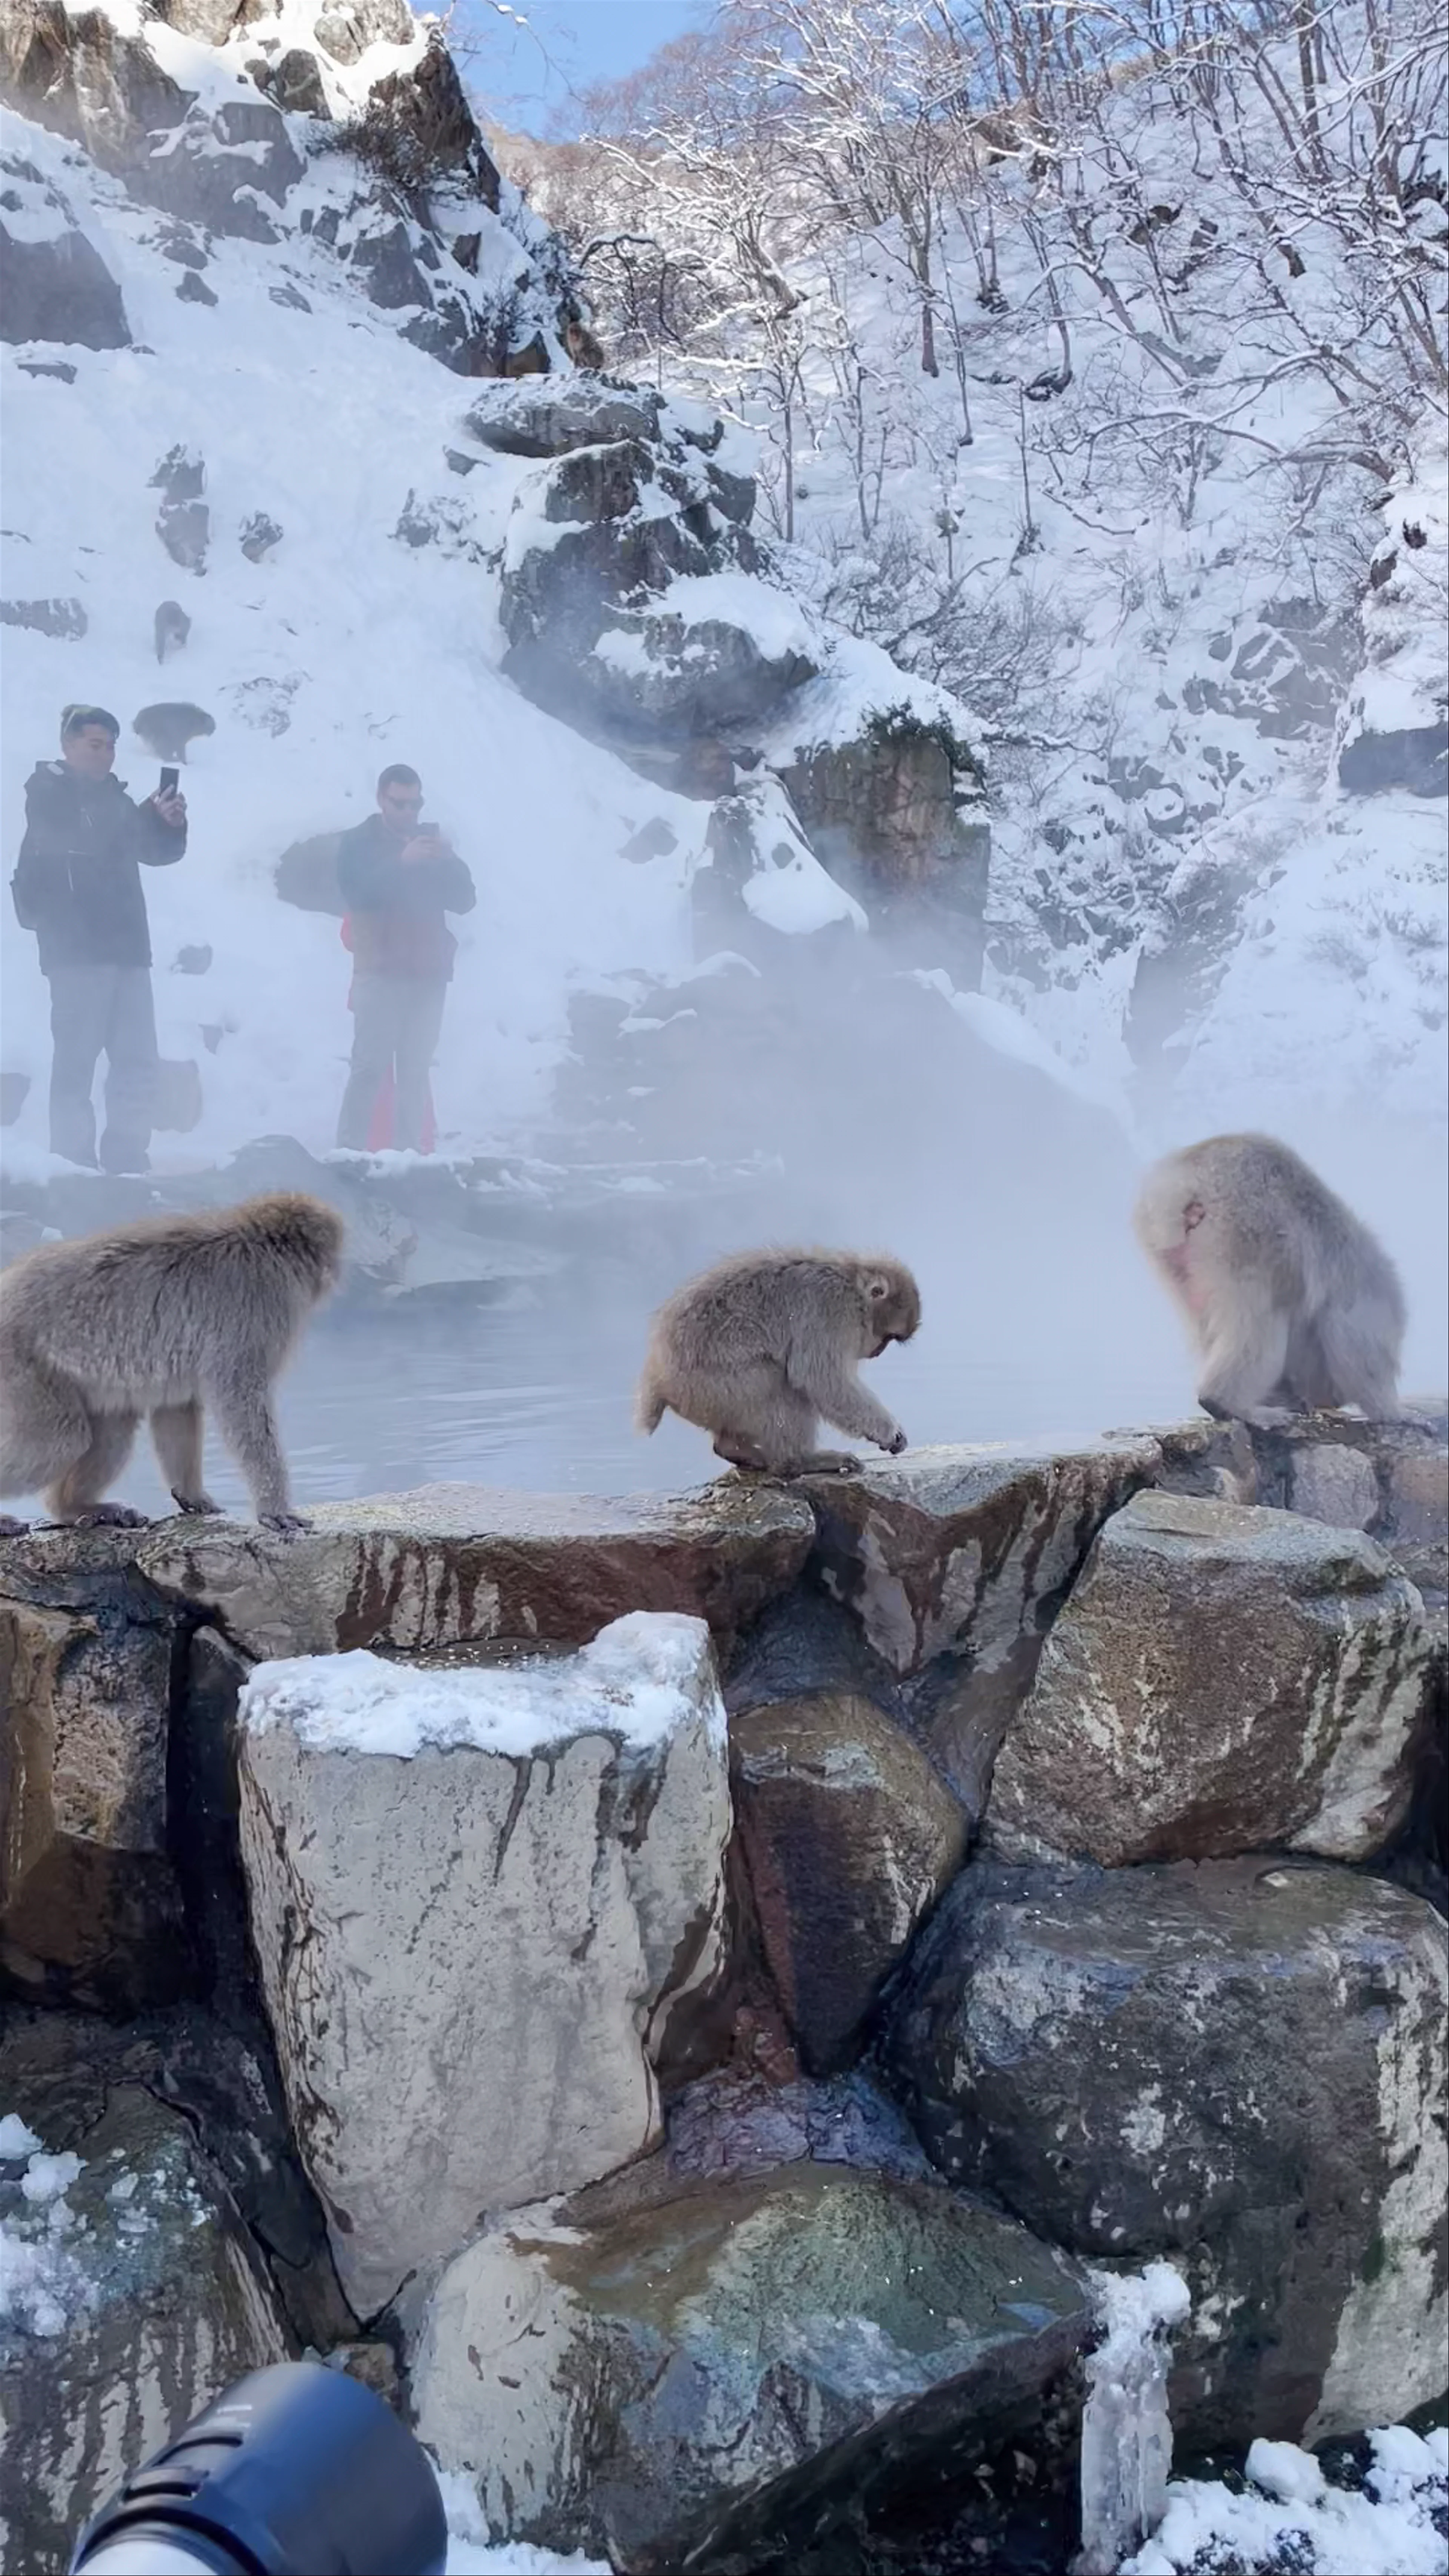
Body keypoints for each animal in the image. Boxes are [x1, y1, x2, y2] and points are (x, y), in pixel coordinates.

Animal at [0, 1193, 344, 1536]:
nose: (333, 1275)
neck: (261, 1243)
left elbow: (176, 1409)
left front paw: (193, 1495)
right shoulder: (260, 1308)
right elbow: (239, 1400)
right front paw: (275, 1508)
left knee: (112, 1429)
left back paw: (74, 1508)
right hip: (19, 1362)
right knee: (58, 1440)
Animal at [636, 1247, 920, 1477]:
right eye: (888, 1337)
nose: (878, 1351)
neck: (851, 1285)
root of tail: (657, 1381)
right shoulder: (831, 1311)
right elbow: (819, 1377)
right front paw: (889, 1432)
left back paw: (734, 1450)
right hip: (712, 1388)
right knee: (778, 1384)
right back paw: (799, 1462)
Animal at [1133, 1133, 1405, 1430]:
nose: (1334, 1399)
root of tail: (1181, 1183)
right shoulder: (1365, 1298)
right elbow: (1356, 1346)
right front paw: (1390, 1411)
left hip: (1172, 1256)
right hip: (1246, 1232)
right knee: (1262, 1318)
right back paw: (1229, 1402)